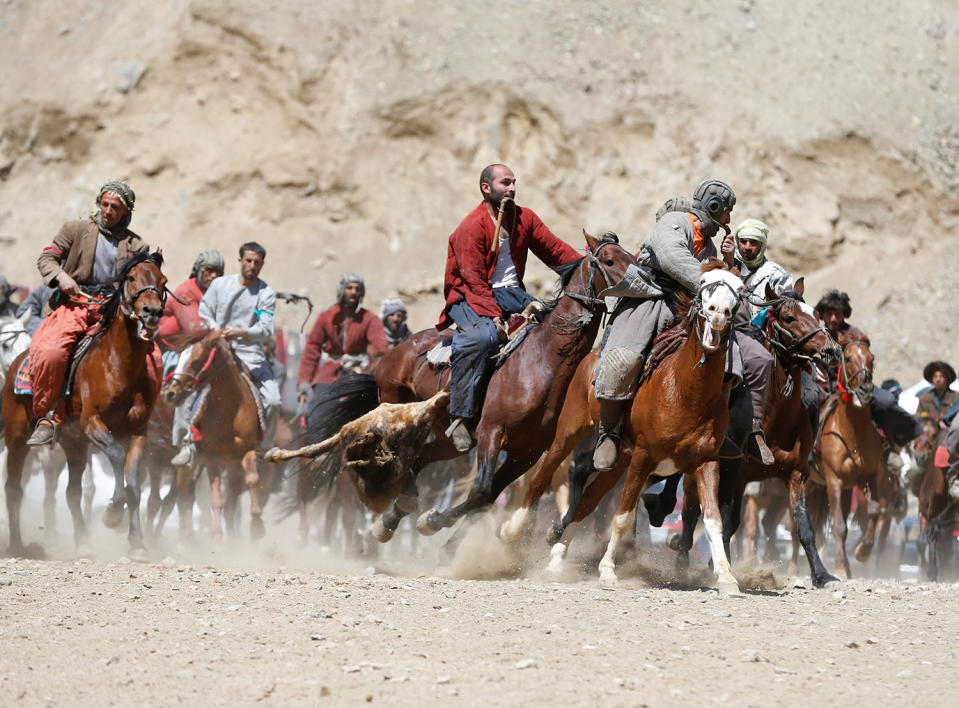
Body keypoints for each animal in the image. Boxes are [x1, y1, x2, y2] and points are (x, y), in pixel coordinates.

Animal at [2, 253, 168, 560]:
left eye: (162, 281)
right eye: (131, 278)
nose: (151, 311)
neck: (118, 365)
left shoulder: (138, 432)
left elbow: (133, 484)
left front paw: (137, 543)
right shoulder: (92, 423)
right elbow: (116, 455)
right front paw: (112, 514)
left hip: (73, 444)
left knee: (73, 492)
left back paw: (83, 544)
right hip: (17, 437)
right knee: (13, 488)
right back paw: (17, 545)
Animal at [160, 330, 274, 544]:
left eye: (196, 360)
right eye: (179, 358)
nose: (170, 393)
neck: (231, 409)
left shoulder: (248, 452)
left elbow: (252, 481)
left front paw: (256, 527)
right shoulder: (211, 458)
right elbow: (216, 500)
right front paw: (218, 539)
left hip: (233, 468)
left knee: (230, 503)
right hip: (189, 466)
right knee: (182, 496)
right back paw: (185, 539)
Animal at [808, 340, 884, 580]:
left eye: (872, 358)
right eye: (848, 359)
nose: (865, 389)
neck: (852, 436)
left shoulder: (870, 476)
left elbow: (874, 511)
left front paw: (863, 551)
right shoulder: (834, 482)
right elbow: (839, 527)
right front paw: (840, 567)